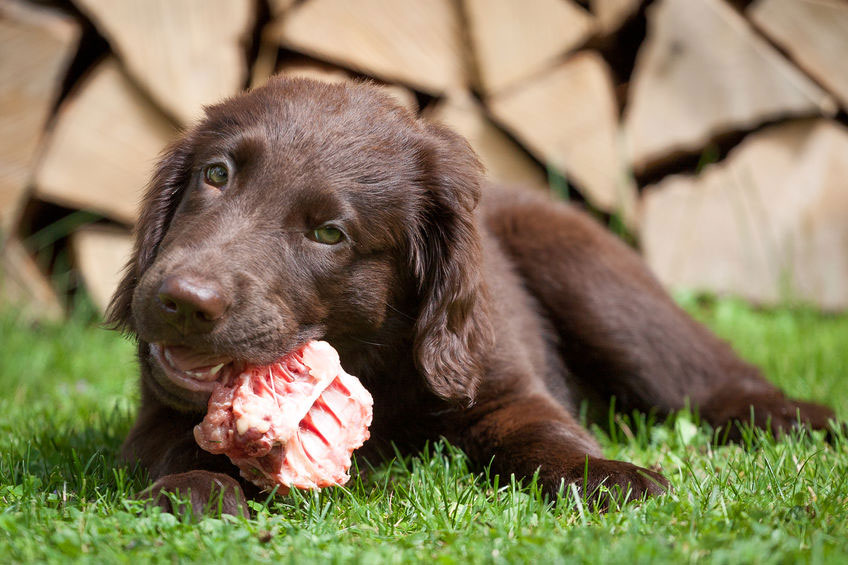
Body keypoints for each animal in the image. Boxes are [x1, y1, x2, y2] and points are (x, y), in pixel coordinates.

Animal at [109, 77, 840, 512]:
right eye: (216, 175)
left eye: (327, 233)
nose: (184, 299)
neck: (370, 355)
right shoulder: (158, 413)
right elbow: (175, 446)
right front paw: (194, 489)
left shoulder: (502, 382)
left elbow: (544, 432)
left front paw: (607, 474)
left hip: (598, 286)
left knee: (708, 378)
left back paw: (800, 419)